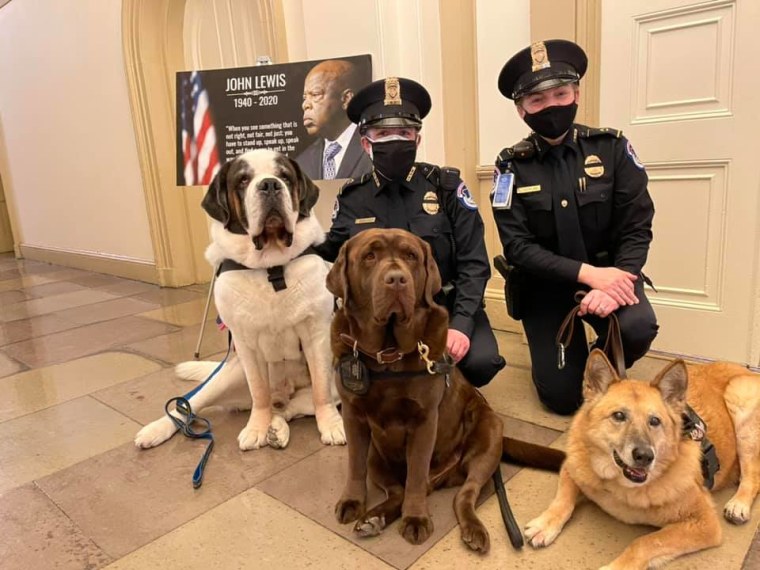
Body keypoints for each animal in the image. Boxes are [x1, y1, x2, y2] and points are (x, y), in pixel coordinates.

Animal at [137, 149, 348, 450]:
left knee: (291, 406)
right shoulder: (245, 343)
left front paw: (331, 425)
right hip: (228, 376)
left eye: (285, 176)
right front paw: (256, 428)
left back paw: (278, 428)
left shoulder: (317, 334)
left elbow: (320, 391)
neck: (271, 268)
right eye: (243, 180)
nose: (270, 185)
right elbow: (259, 392)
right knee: (190, 403)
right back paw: (156, 430)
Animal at [524, 348, 760, 564]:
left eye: (654, 421)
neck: (618, 486)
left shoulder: (704, 523)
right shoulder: (572, 467)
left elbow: (644, 542)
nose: (645, 456)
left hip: (740, 400)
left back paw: (739, 503)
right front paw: (545, 523)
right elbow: (562, 498)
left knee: (753, 475)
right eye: (619, 415)